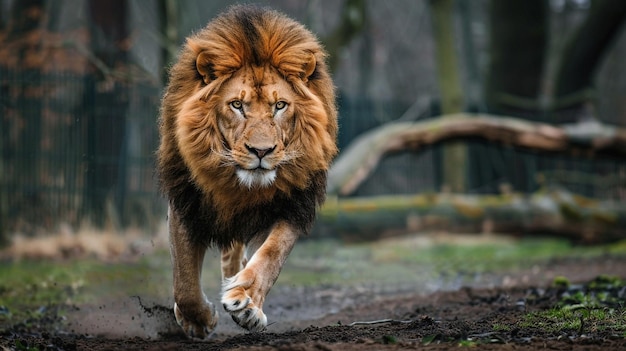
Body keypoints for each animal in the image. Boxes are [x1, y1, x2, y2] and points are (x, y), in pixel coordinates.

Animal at [158, 5, 338, 340]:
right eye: (237, 105)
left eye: (280, 105)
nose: (261, 151)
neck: (242, 187)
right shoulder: (186, 202)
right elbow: (184, 281)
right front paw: (198, 320)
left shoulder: (294, 205)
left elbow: (270, 256)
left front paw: (246, 303)